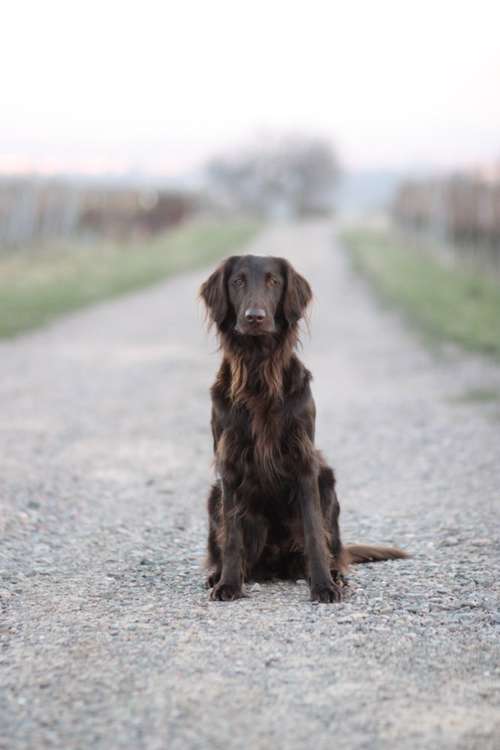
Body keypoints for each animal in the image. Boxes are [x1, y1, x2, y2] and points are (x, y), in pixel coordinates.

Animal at [199, 256, 406, 604]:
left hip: (327, 482)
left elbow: (313, 532)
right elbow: (232, 535)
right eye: (237, 282)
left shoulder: (303, 461)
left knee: (330, 546)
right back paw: (219, 574)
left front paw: (323, 585)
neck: (259, 371)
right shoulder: (229, 463)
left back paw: (335, 574)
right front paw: (228, 584)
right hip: (214, 495)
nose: (255, 317)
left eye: (274, 282)